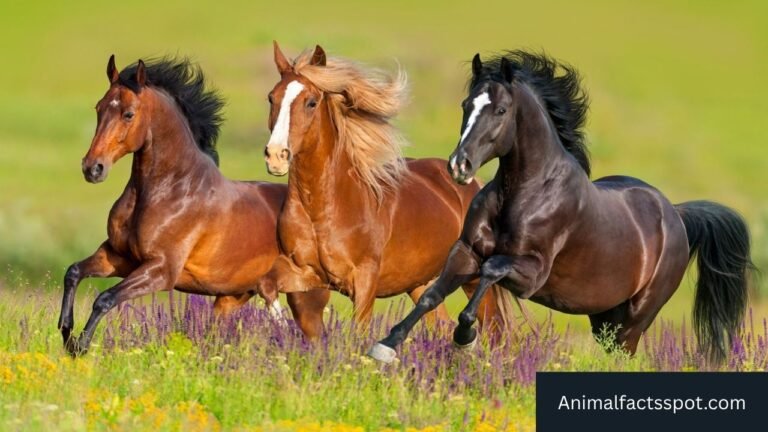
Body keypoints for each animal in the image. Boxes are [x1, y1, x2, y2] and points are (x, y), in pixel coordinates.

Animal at [58, 55, 303, 356]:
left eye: (128, 114)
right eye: (99, 108)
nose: (93, 168)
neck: (171, 190)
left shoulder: (161, 270)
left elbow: (104, 298)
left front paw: (79, 346)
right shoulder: (118, 257)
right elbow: (73, 272)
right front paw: (66, 332)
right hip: (236, 296)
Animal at [258, 42, 515, 338]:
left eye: (311, 102)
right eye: (271, 98)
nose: (276, 156)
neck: (324, 208)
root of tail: (475, 185)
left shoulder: (364, 281)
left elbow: (358, 331)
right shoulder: (306, 272)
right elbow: (267, 284)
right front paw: (282, 329)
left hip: (471, 277)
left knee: (494, 330)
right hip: (421, 283)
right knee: (440, 324)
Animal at [369, 51, 754, 364]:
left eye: (500, 110)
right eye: (466, 105)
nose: (459, 166)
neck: (524, 194)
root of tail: (676, 214)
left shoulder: (531, 274)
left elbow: (490, 270)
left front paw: (464, 337)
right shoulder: (465, 251)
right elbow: (431, 295)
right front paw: (385, 346)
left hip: (636, 318)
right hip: (604, 318)